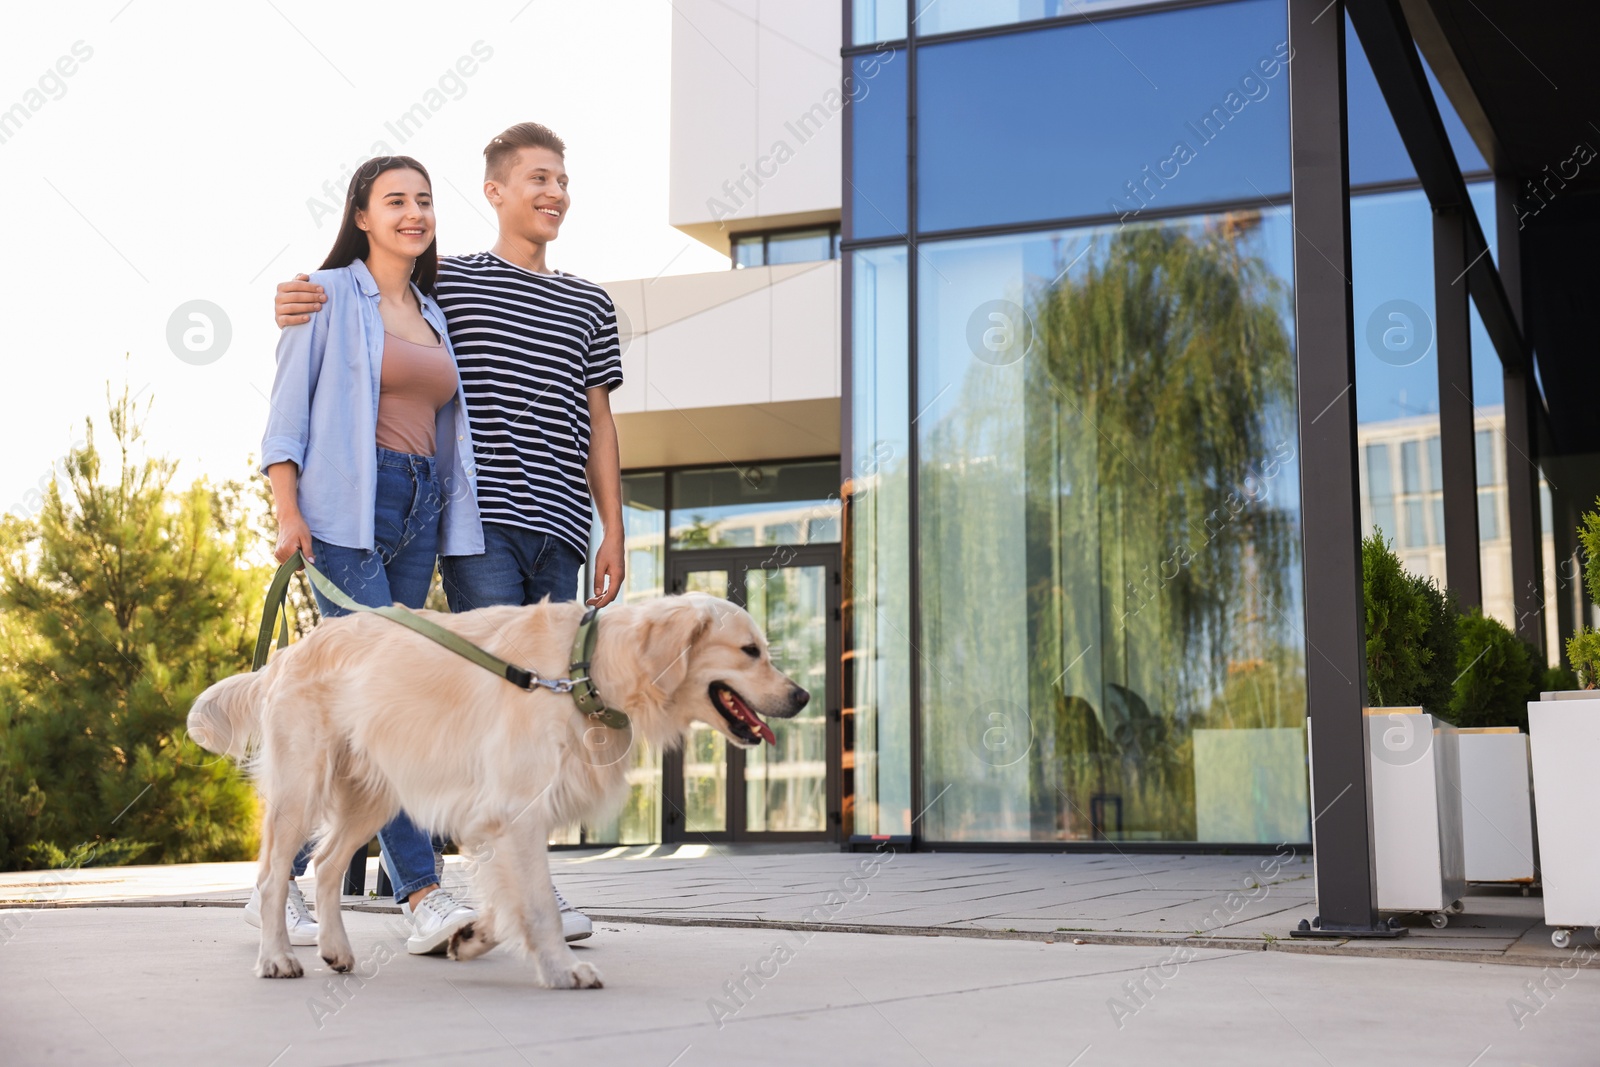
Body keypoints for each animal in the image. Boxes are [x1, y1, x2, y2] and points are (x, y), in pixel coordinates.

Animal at [187, 591, 806, 985]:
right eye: (749, 651)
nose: (801, 696)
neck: (582, 671)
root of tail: (290, 651)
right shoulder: (517, 811)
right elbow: (536, 904)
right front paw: (562, 970)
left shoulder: (502, 821)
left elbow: (508, 900)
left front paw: (473, 938)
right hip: (303, 787)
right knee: (273, 875)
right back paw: (277, 958)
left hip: (375, 793)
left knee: (328, 863)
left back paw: (336, 950)